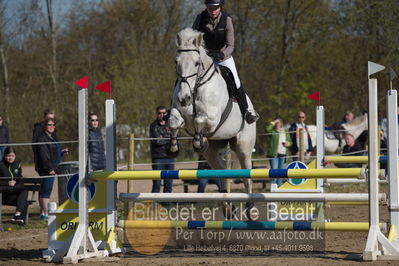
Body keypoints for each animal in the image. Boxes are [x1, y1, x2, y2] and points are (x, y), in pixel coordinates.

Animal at [168, 28, 256, 217]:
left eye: (196, 63)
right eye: (176, 62)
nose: (184, 98)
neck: (195, 87)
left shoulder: (213, 118)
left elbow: (199, 118)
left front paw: (197, 141)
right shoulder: (179, 113)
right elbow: (173, 122)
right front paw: (174, 147)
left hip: (243, 146)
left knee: (247, 177)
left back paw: (251, 210)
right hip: (212, 151)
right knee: (222, 171)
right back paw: (228, 208)